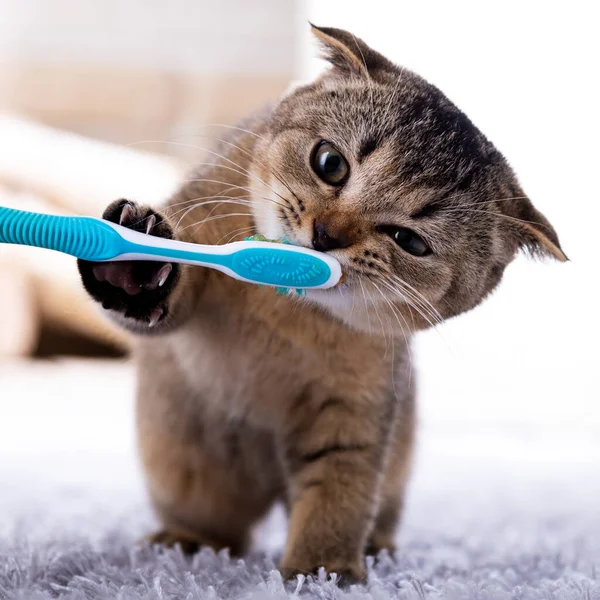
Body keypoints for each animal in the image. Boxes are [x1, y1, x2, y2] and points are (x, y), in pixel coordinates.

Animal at [77, 25, 564, 584]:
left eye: (410, 241)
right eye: (330, 162)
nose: (327, 234)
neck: (286, 312)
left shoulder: (355, 408)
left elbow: (337, 494)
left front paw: (321, 571)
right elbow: (163, 299)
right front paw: (132, 261)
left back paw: (375, 547)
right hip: (185, 469)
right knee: (221, 527)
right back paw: (185, 541)